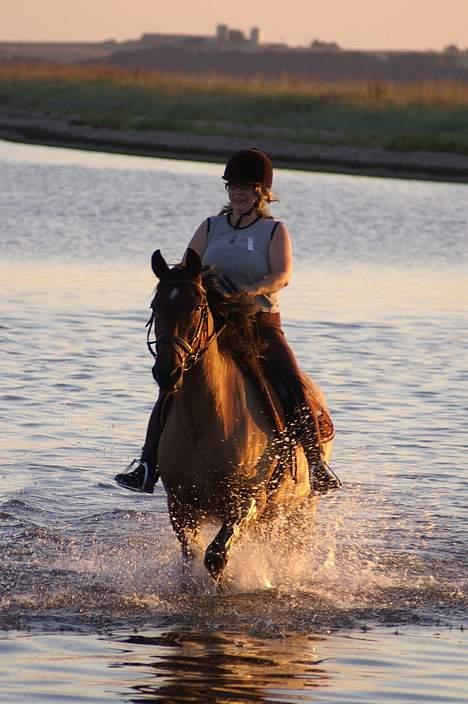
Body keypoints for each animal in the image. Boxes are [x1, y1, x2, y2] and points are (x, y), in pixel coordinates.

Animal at [150, 250, 332, 580]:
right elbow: (190, 557)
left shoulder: (246, 503)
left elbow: (215, 557)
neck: (203, 423)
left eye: (197, 306)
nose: (167, 372)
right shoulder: (180, 506)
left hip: (301, 508)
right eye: (156, 307)